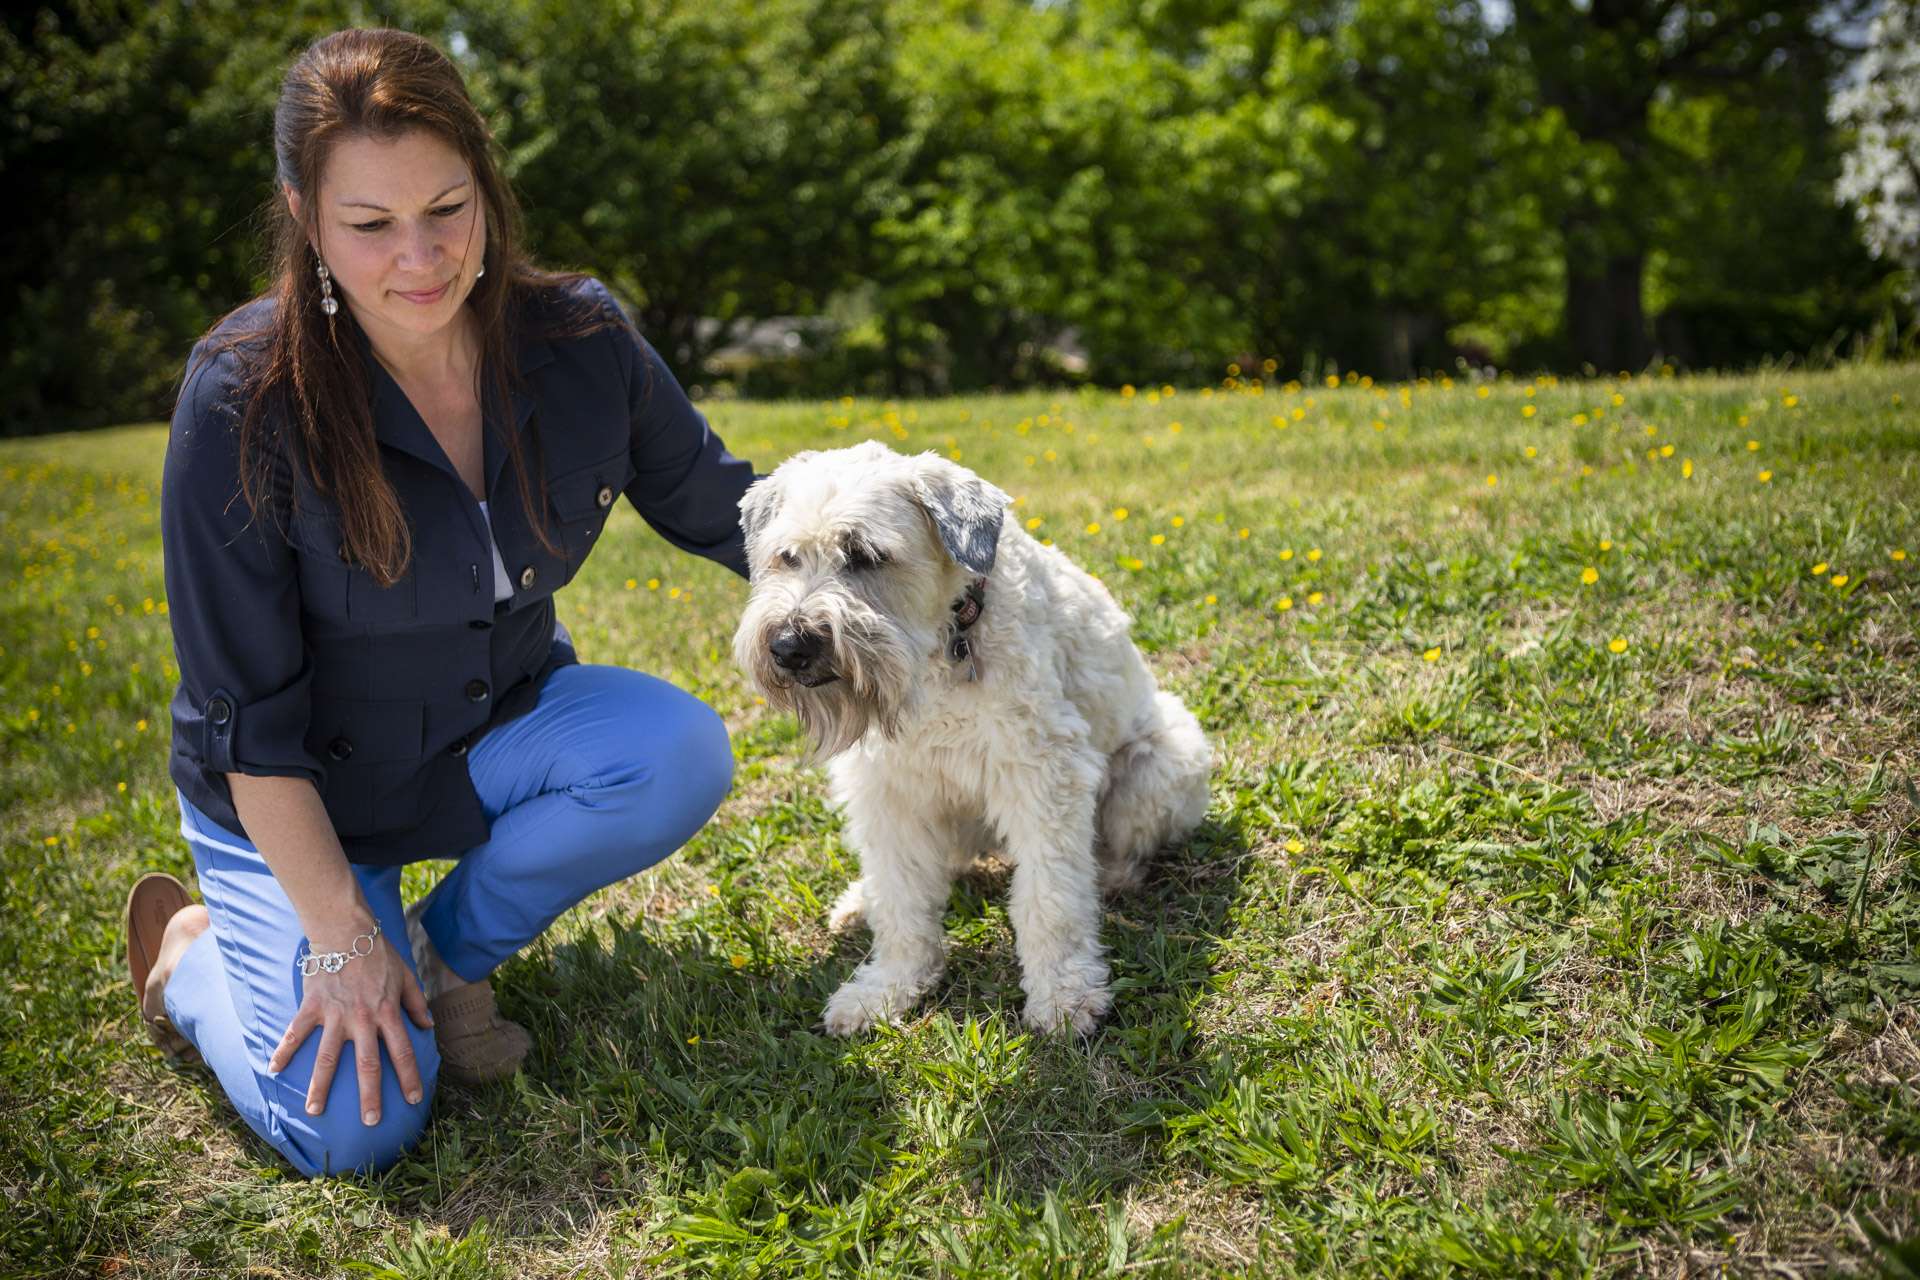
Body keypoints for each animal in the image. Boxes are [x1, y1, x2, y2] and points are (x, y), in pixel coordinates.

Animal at [733, 445, 1213, 1036]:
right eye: (787, 557)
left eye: (865, 555)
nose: (789, 646)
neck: (940, 643)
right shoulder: (888, 789)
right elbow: (900, 899)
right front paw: (888, 988)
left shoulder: (1042, 771)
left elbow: (1050, 898)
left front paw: (1064, 993)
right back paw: (860, 902)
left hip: (1162, 761)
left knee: (1122, 848)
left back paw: (1108, 875)